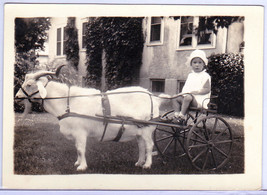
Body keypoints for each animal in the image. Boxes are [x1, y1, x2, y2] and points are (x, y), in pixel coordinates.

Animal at [15, 66, 168, 171]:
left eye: (29, 85)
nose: (16, 97)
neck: (68, 102)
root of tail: (154, 98)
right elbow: (77, 148)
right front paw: (77, 162)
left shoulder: (80, 132)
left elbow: (80, 149)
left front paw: (82, 167)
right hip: (139, 130)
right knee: (141, 146)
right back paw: (139, 162)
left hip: (147, 129)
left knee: (149, 145)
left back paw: (147, 164)